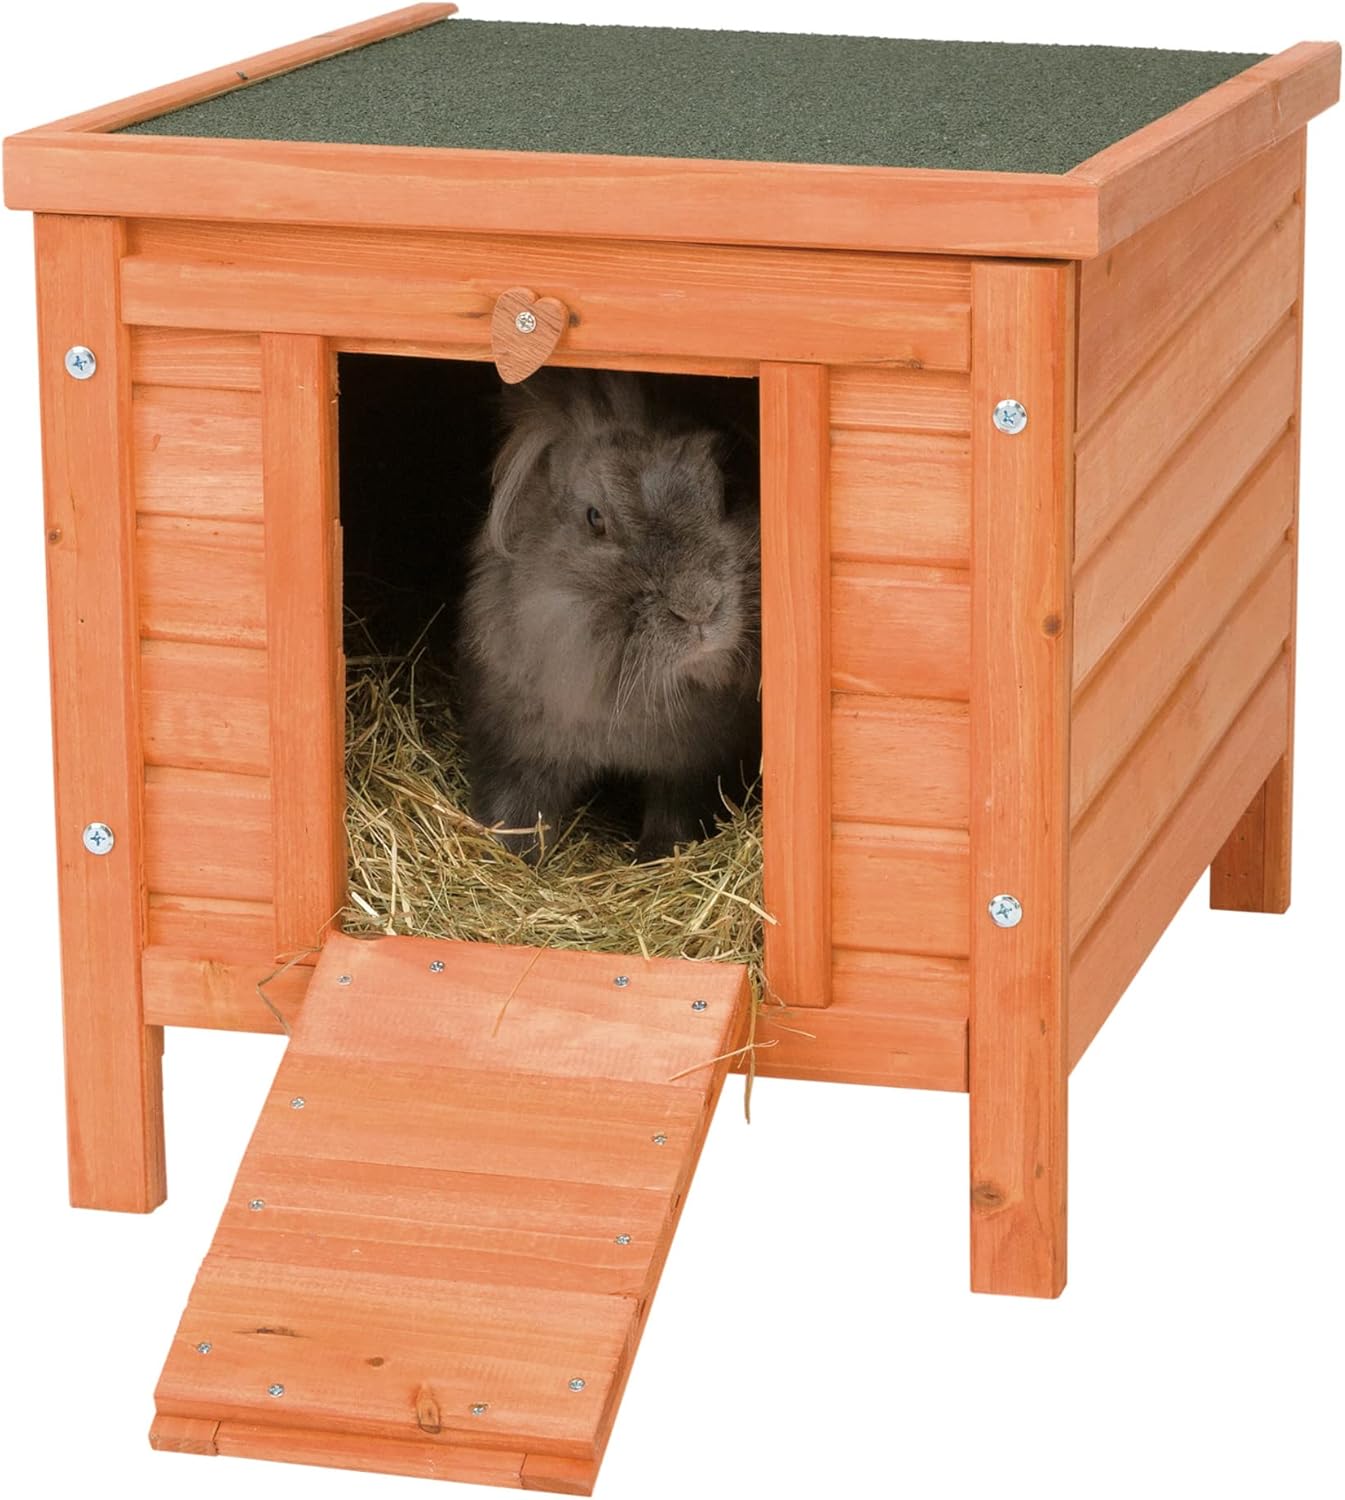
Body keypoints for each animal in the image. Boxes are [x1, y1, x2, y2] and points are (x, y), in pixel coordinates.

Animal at [457, 369, 761, 862]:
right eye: (594, 518)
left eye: (726, 494)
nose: (699, 606)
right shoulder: (516, 750)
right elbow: (517, 809)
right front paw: (514, 857)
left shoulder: (692, 770)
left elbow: (674, 817)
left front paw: (657, 857)